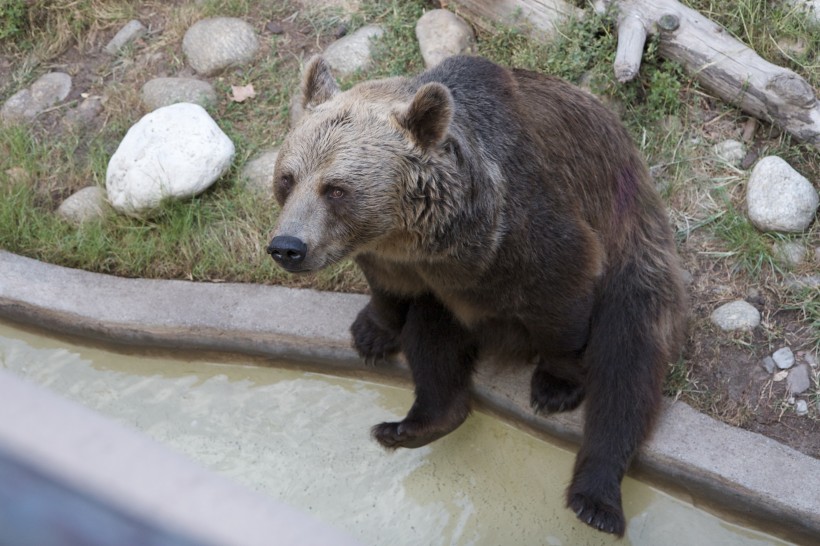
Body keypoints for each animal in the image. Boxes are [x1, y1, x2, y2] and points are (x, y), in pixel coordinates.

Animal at [268, 54, 684, 532]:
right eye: (288, 178)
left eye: (335, 188)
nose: (288, 246)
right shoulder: (400, 261)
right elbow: (391, 293)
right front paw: (371, 333)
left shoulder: (527, 229)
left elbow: (564, 296)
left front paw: (556, 384)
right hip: (450, 306)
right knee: (432, 342)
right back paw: (411, 426)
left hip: (634, 259)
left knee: (626, 367)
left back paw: (595, 501)